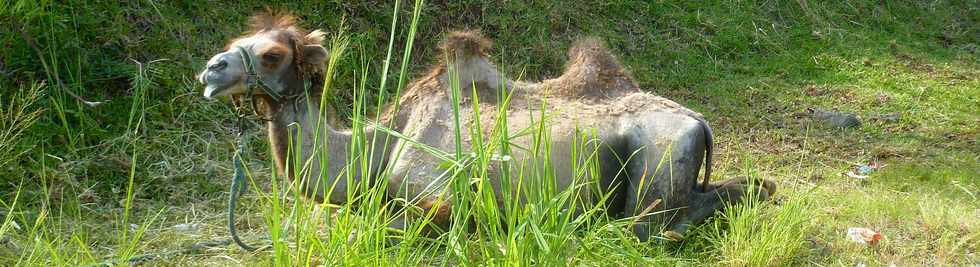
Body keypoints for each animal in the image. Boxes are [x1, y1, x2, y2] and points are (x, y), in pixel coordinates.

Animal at [197, 11, 772, 243]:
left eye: (272, 54)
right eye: (236, 43)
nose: (211, 69)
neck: (376, 149)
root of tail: (699, 121)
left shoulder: (436, 194)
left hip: (655, 161)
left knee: (653, 226)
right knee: (750, 188)